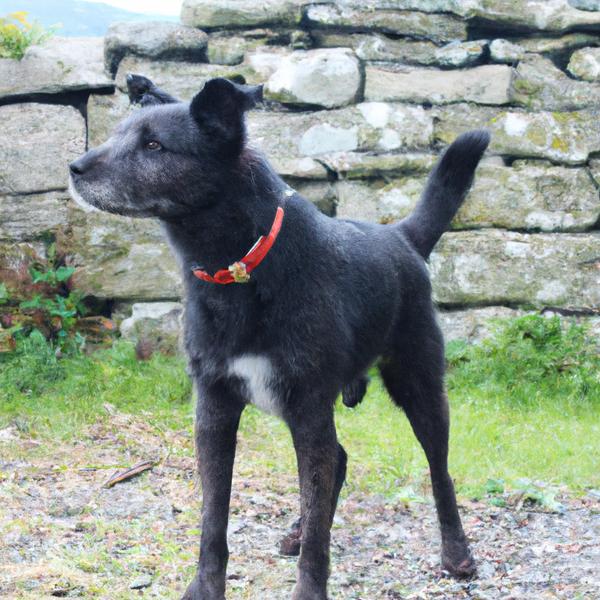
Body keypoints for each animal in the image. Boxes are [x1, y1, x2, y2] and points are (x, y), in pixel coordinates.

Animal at [70, 76, 490, 600]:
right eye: (119, 134)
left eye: (153, 146)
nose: (74, 168)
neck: (242, 267)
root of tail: (403, 237)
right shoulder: (215, 410)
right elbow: (213, 521)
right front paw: (205, 587)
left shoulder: (308, 409)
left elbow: (318, 535)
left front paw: (309, 588)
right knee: (340, 461)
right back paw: (298, 529)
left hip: (418, 387)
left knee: (439, 471)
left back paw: (456, 553)